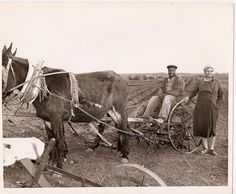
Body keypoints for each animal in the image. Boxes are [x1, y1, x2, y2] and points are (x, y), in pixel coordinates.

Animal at [1, 43, 130, 167]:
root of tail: (120, 77)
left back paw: (125, 154)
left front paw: (58, 167)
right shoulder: (47, 119)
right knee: (112, 126)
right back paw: (104, 148)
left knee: (123, 128)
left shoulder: (56, 118)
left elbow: (59, 142)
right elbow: (52, 140)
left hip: (118, 108)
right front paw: (51, 163)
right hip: (108, 111)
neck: (41, 86)